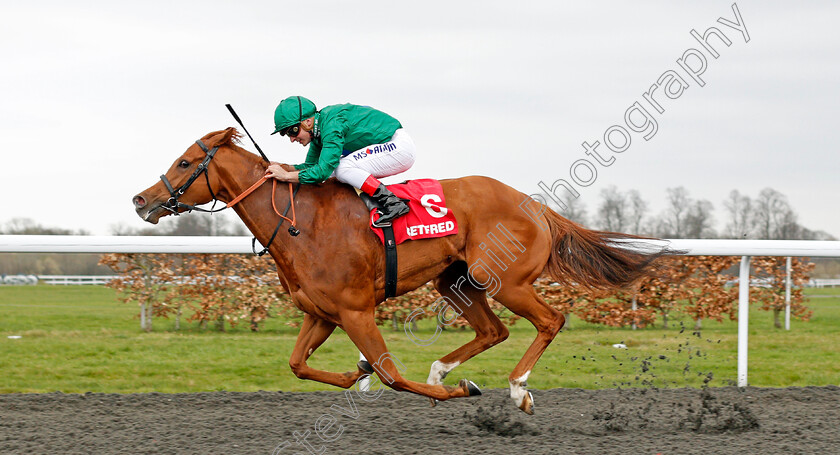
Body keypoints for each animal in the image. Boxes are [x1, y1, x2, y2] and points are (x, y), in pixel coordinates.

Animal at [133, 126, 668, 416]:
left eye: (185, 162)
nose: (141, 200)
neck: (299, 223)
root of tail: (533, 205)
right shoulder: (322, 313)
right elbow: (298, 364)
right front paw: (357, 372)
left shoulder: (356, 311)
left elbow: (392, 374)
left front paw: (455, 389)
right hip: (454, 280)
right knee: (493, 331)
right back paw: (445, 368)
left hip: (507, 280)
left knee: (549, 321)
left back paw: (517, 390)